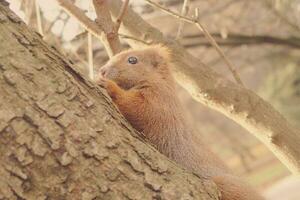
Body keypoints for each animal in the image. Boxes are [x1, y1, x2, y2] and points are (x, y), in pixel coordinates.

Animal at [96, 45, 264, 200]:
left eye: (132, 60)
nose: (101, 70)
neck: (158, 81)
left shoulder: (159, 101)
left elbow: (138, 108)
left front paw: (109, 86)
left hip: (227, 185)